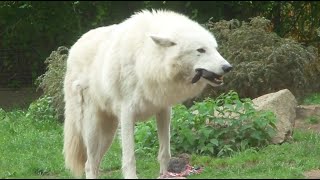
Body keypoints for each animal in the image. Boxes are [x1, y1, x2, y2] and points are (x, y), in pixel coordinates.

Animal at [62, 9, 232, 179]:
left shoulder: (164, 110)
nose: (228, 67)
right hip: (93, 129)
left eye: (215, 48)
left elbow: (165, 153)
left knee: (95, 163)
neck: (145, 60)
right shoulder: (127, 114)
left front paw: (164, 175)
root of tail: (73, 49)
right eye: (201, 50)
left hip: (108, 132)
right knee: (89, 164)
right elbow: (130, 159)